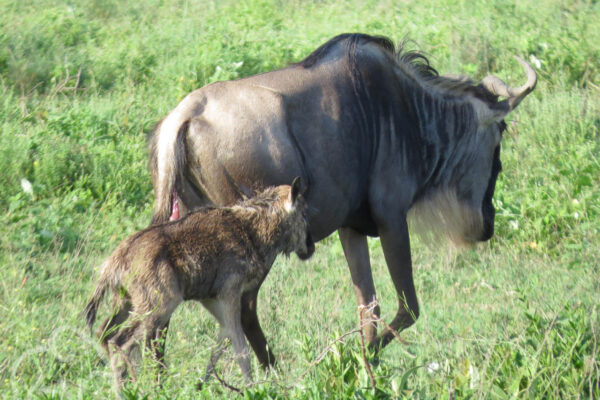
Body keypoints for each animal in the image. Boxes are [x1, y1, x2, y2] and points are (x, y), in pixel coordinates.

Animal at [84, 178, 314, 390]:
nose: (310, 247)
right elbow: (241, 349)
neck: (252, 228)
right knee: (121, 342)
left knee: (104, 334)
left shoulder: (210, 299)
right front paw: (251, 388)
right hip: (159, 307)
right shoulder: (230, 294)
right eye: (303, 214)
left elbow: (222, 342)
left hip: (127, 304)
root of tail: (116, 260)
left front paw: (201, 385)